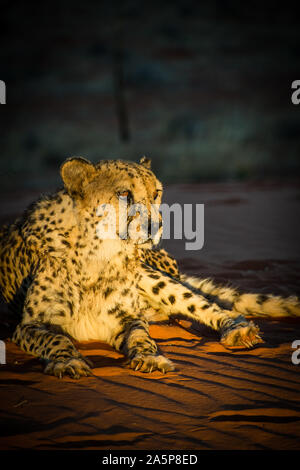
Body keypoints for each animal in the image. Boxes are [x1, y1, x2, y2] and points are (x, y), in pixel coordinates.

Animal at [0, 158, 300, 378]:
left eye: (156, 193)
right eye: (123, 193)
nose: (155, 226)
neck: (97, 253)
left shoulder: (126, 318)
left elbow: (140, 335)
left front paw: (150, 357)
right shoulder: (27, 326)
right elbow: (58, 340)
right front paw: (67, 362)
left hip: (152, 277)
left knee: (203, 304)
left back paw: (237, 329)